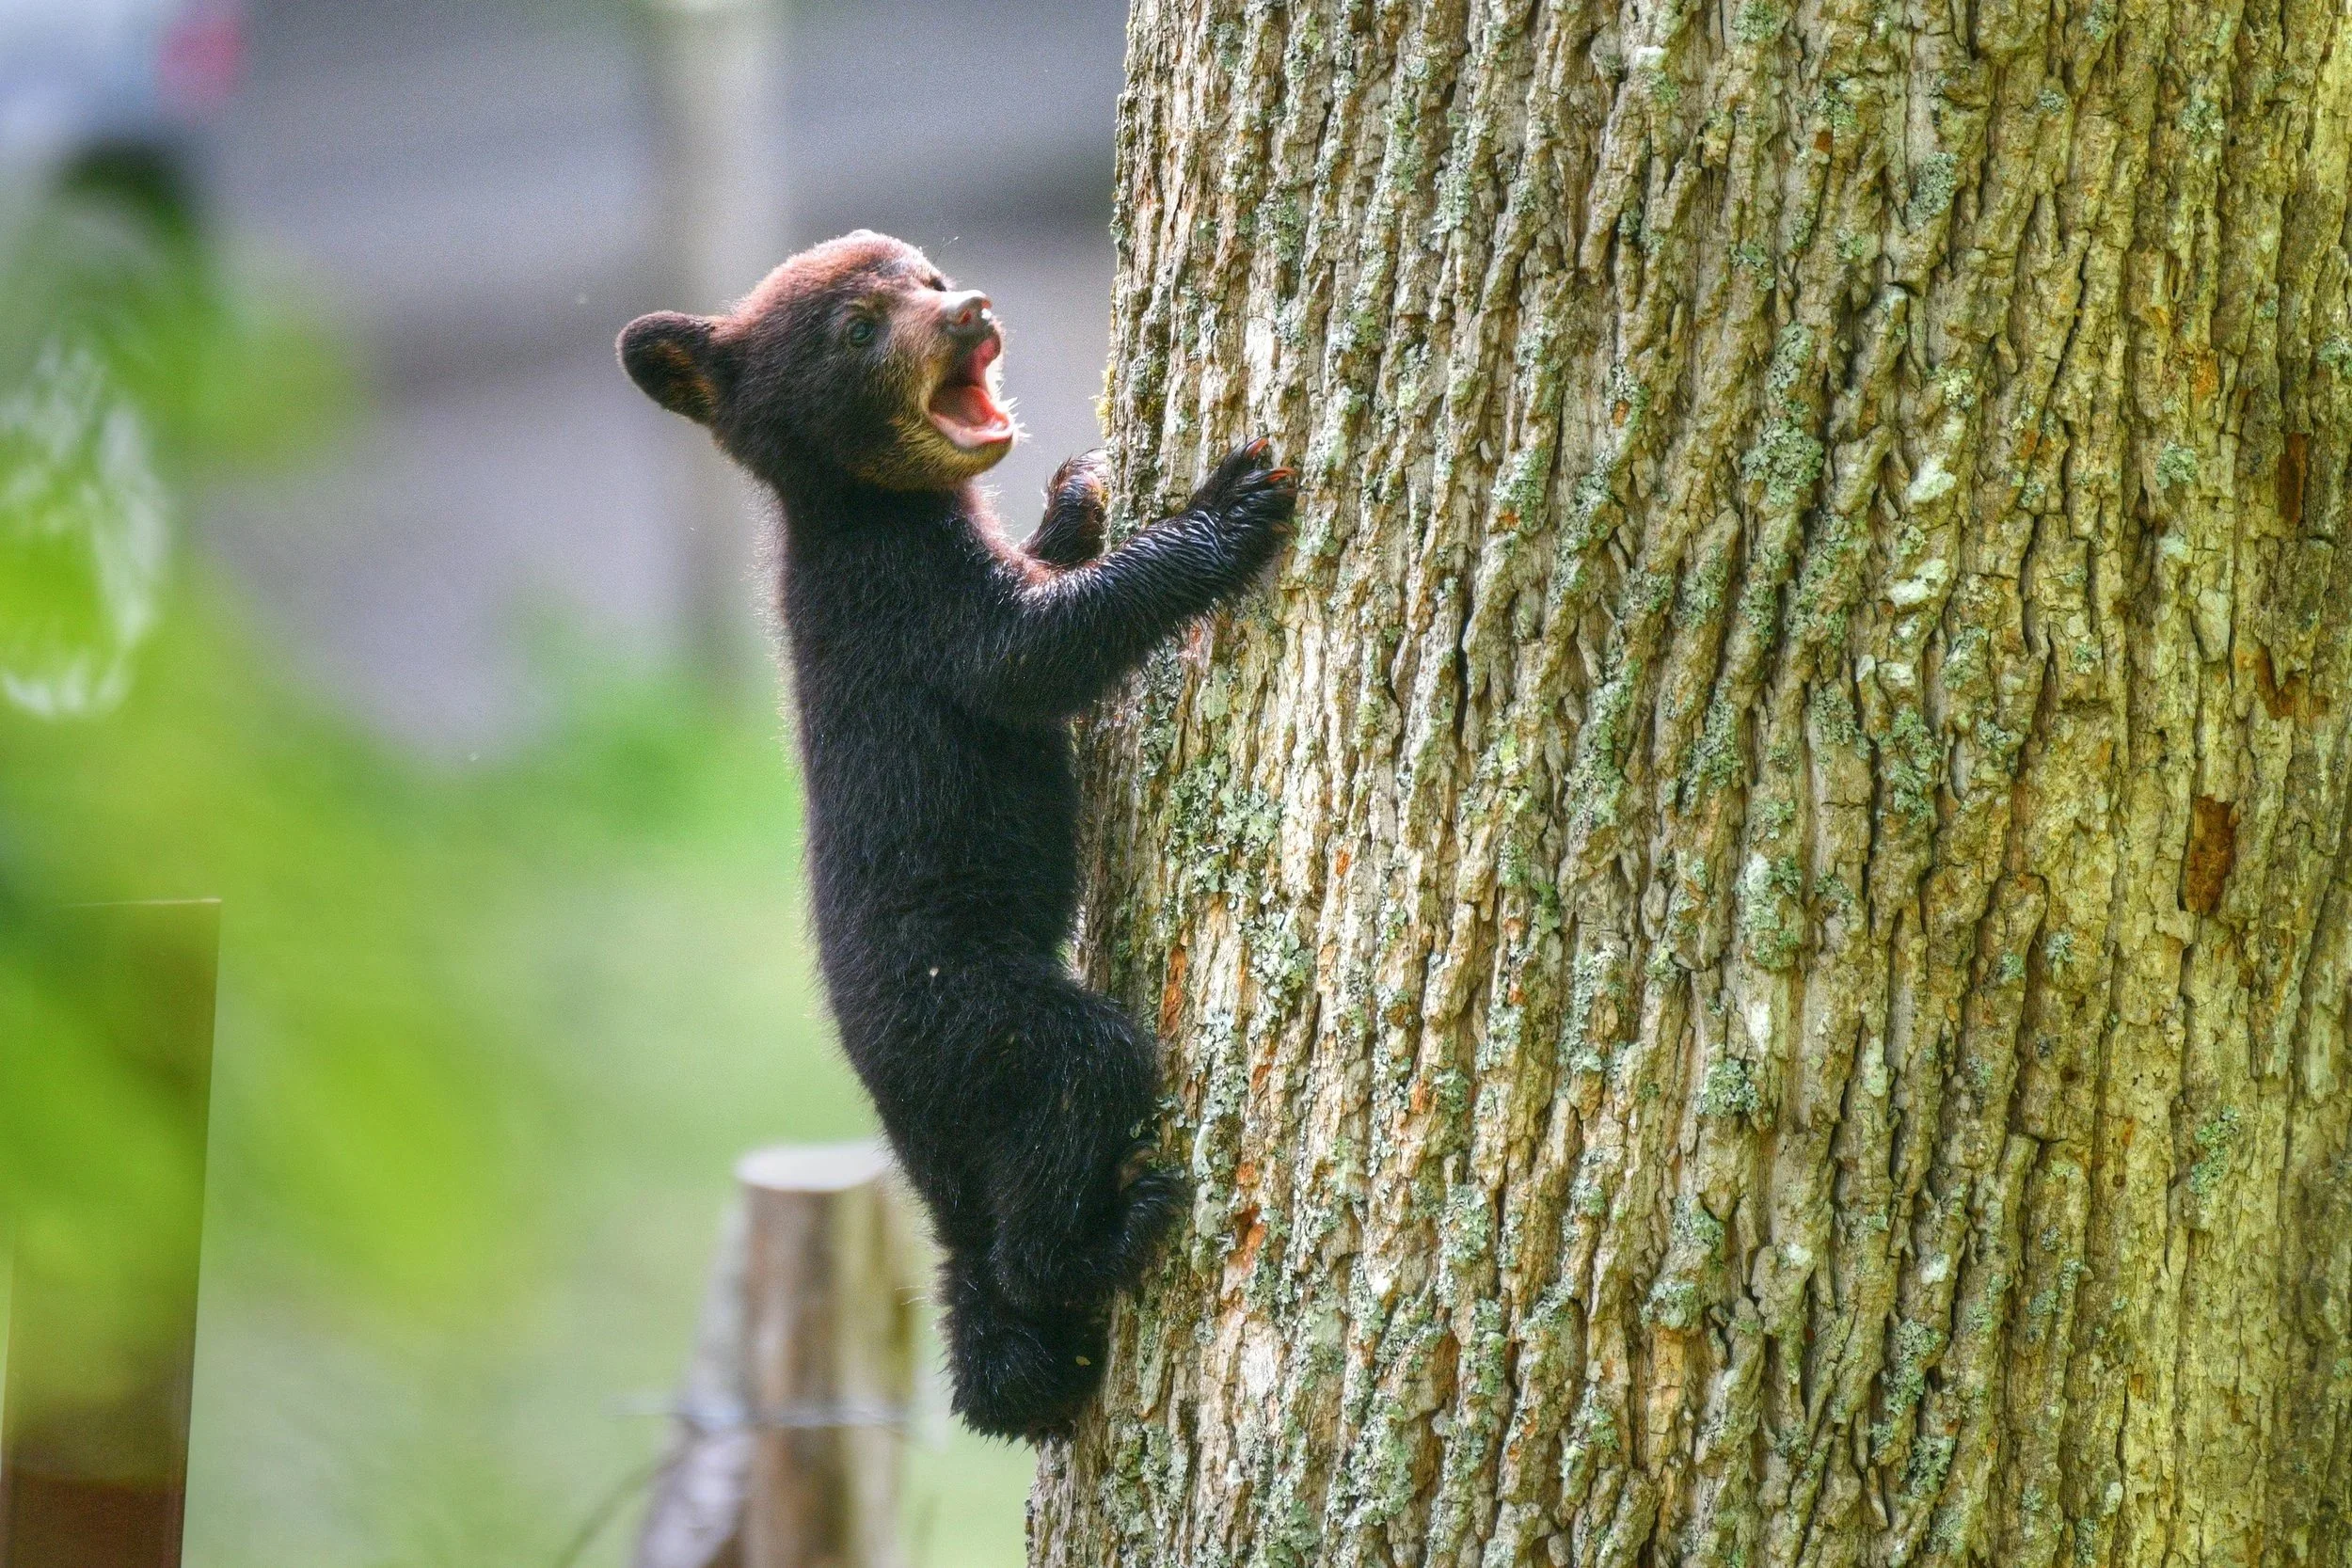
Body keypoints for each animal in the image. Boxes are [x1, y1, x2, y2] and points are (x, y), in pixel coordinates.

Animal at [618, 230, 1295, 1439]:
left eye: (922, 273)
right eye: (857, 326)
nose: (971, 307)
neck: (862, 514)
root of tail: (901, 1121)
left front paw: (1076, 490)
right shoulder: (910, 603)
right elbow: (1036, 649)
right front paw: (1229, 503)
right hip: (976, 1021)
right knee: (1076, 1092)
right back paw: (1113, 1232)